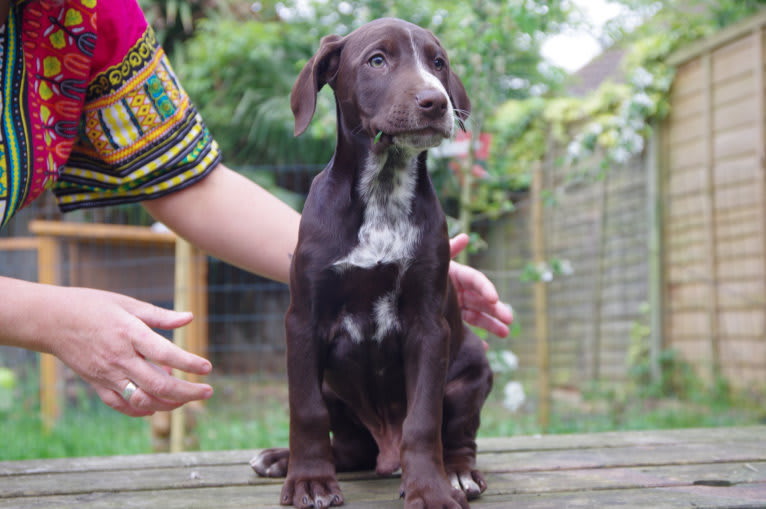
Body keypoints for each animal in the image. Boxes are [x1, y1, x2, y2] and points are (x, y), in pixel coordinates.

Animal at [249, 17, 496, 506]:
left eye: (438, 63)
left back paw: (458, 472)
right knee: (346, 448)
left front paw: (430, 488)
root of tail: (386, 453)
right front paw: (308, 480)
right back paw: (281, 459)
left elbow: (423, 420)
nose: (436, 102)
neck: (384, 187)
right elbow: (305, 410)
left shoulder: (428, 325)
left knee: (457, 436)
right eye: (377, 60)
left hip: (474, 368)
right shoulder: (303, 320)